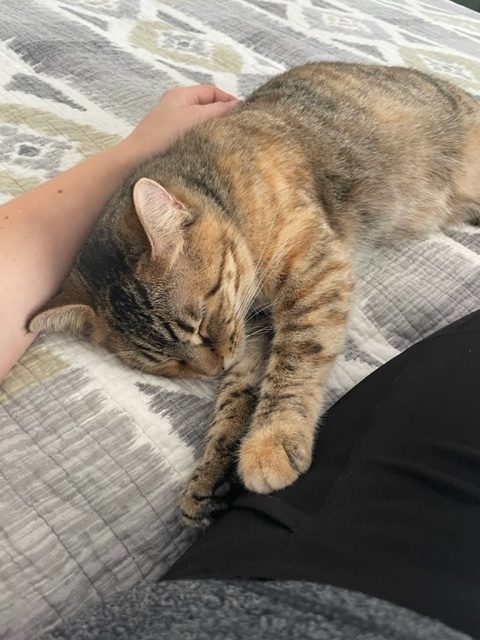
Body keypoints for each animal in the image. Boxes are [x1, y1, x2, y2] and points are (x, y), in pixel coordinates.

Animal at [30, 62, 480, 528]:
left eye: (201, 321)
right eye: (167, 363)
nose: (213, 368)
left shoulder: (315, 272)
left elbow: (294, 360)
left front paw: (271, 440)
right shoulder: (253, 330)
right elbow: (236, 398)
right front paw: (213, 473)